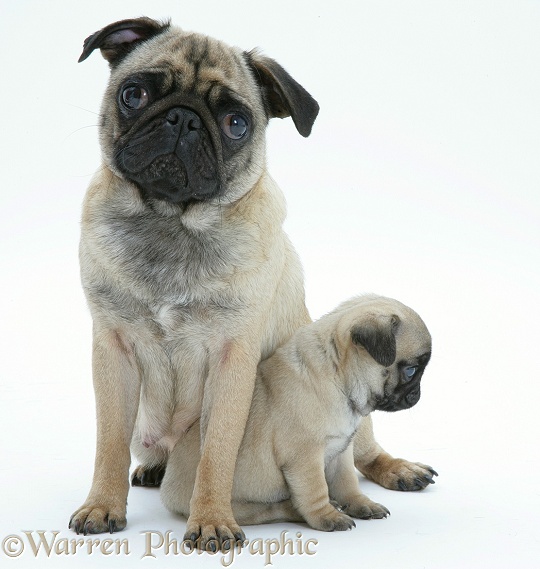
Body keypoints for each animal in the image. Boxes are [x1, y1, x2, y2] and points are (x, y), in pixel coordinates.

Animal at [160, 296, 434, 536]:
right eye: (411, 371)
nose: (418, 394)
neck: (338, 375)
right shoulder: (305, 458)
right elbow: (316, 491)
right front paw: (328, 517)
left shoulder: (341, 451)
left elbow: (347, 483)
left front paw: (360, 503)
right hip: (238, 507)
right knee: (271, 510)